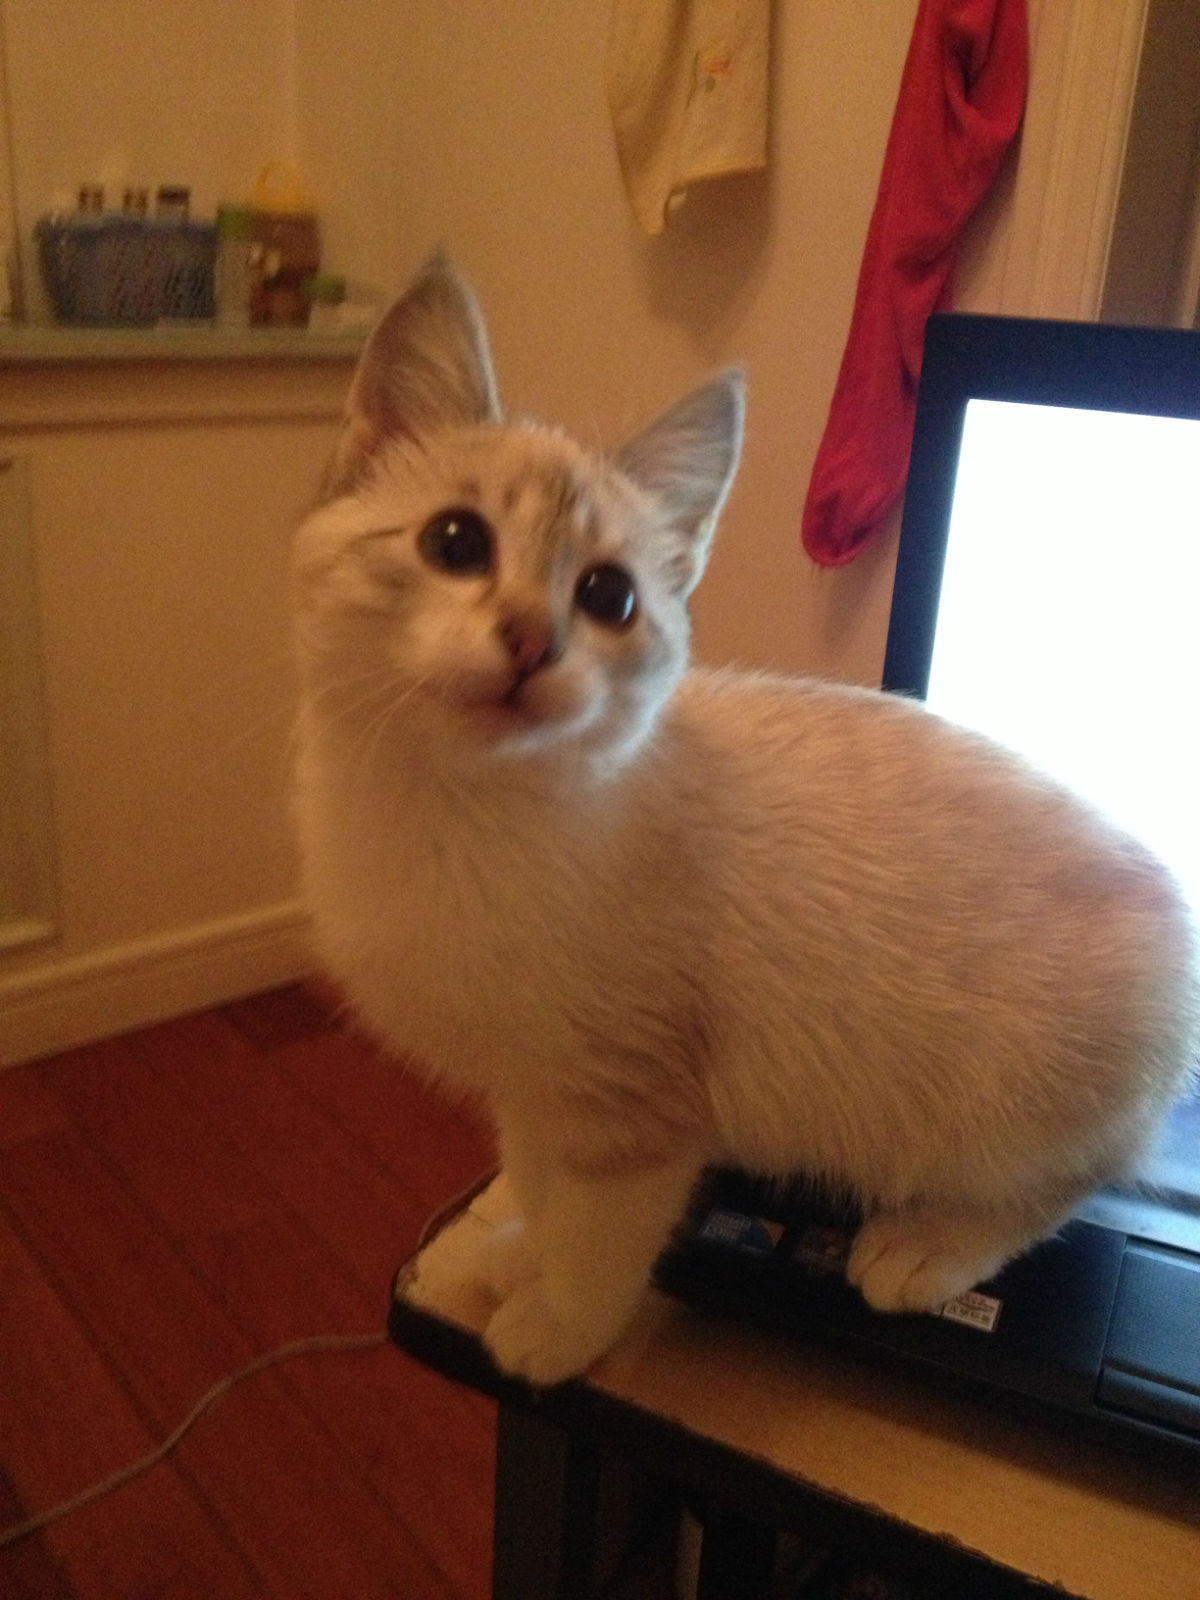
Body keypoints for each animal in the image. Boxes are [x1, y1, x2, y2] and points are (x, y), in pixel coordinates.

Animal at [291, 254, 1199, 1386]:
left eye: (609, 598)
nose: (533, 640)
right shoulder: (535, 1087)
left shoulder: (636, 1108)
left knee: (1071, 1177)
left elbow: (595, 1237)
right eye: (455, 542)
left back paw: (925, 1243)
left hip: (1012, 1091)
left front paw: (559, 1324)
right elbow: (537, 1188)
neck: (453, 809)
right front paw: (510, 1256)